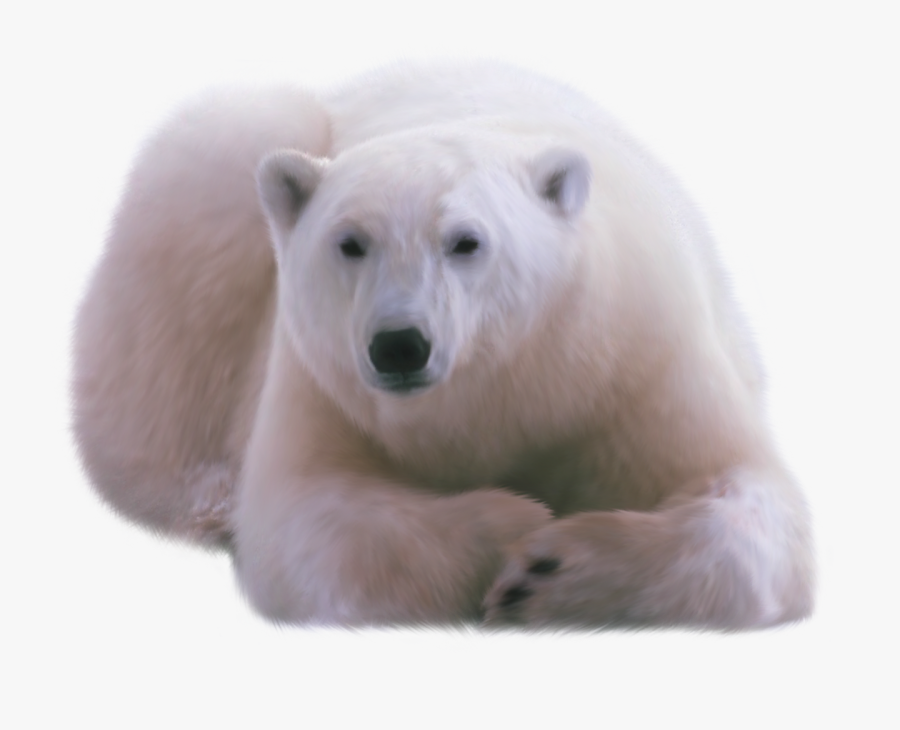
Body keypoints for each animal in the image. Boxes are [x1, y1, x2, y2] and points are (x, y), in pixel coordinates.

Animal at [72, 62, 814, 628]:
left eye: (466, 241)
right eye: (350, 242)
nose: (400, 346)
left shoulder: (636, 357)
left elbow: (750, 501)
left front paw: (550, 571)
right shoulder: (324, 383)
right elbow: (312, 521)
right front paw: (513, 528)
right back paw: (209, 497)